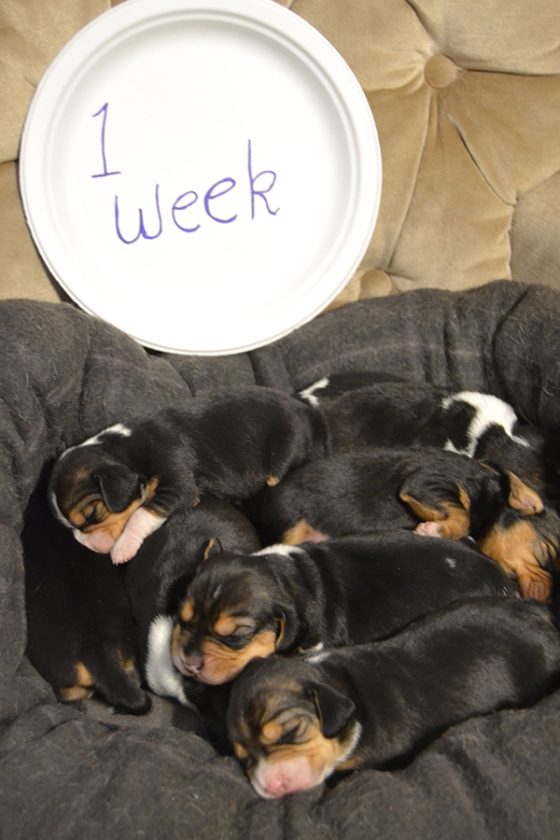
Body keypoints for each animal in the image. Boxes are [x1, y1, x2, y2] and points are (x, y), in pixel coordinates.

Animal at [48, 386, 326, 565]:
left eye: (92, 514)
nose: (88, 545)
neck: (126, 451)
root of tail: (309, 414)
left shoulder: (177, 485)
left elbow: (140, 515)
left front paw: (123, 549)